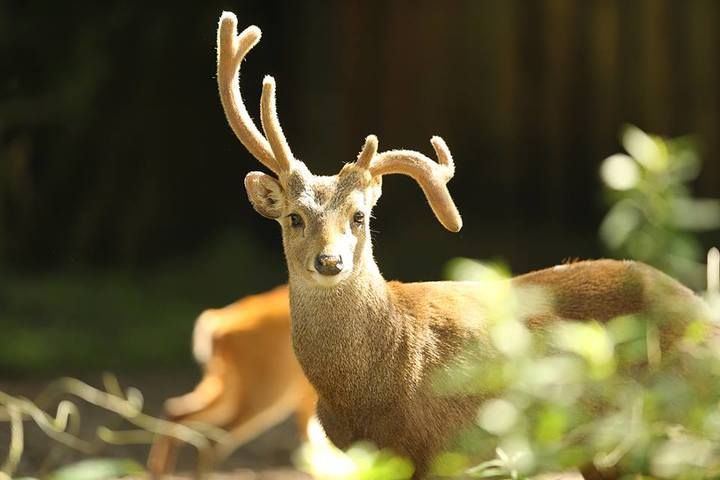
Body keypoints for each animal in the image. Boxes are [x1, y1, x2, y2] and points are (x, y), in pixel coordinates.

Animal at [212, 12, 708, 480]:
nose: (330, 261)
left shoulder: (443, 448)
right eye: (294, 217)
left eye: (359, 216)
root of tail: (700, 308)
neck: (368, 389)